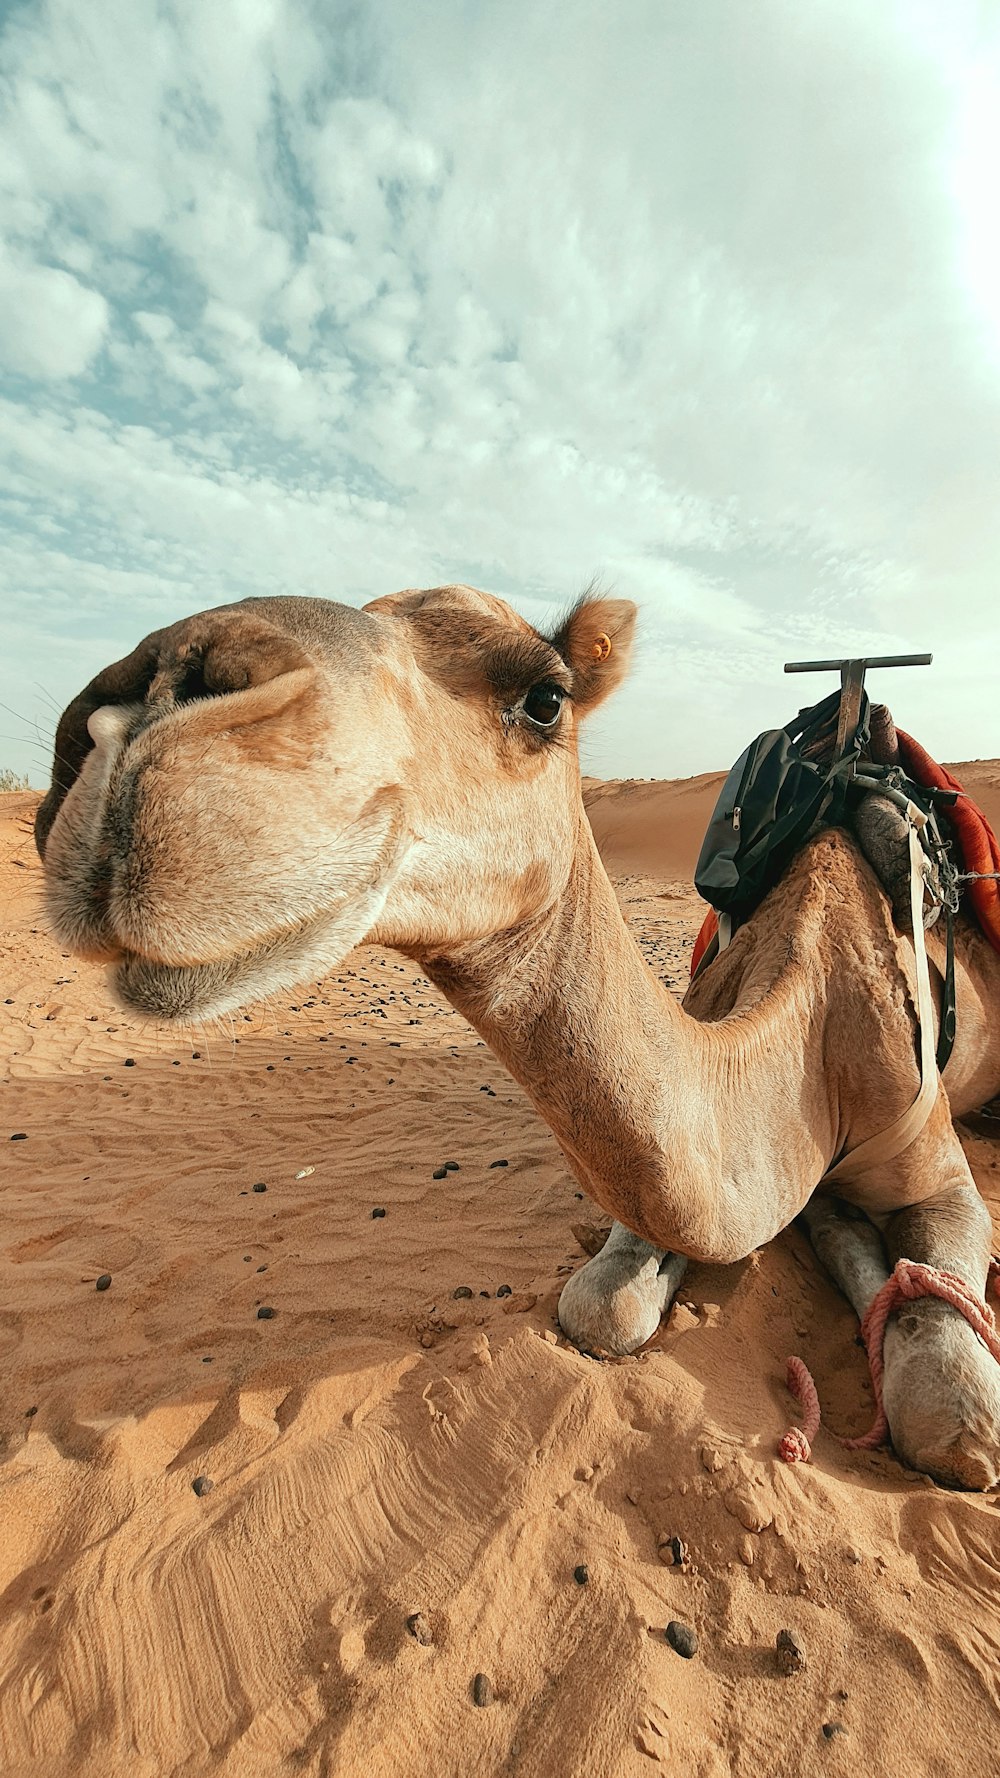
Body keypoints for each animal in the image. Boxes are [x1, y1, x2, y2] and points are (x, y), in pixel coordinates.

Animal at [35, 583, 996, 1486]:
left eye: (545, 699)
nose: (149, 693)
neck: (813, 1033)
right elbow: (604, 1303)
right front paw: (815, 1231)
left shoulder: (937, 1170)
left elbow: (952, 1414)